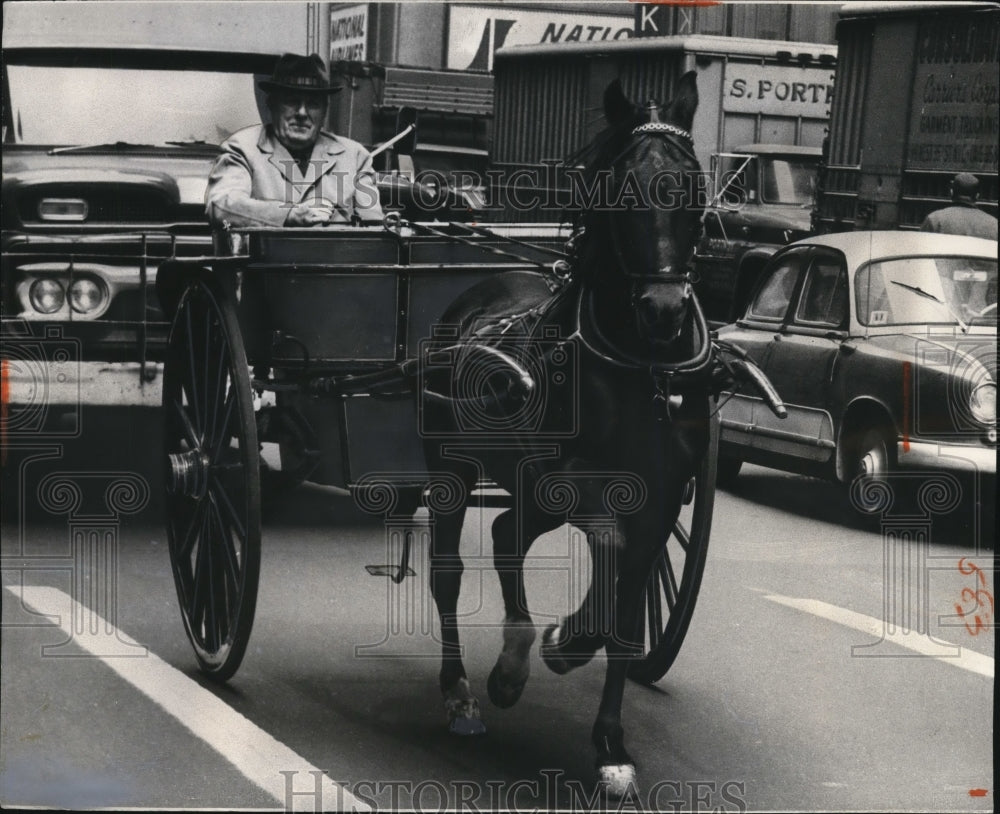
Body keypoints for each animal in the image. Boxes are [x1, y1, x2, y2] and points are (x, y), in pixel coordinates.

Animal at [422, 71, 712, 796]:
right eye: (622, 188)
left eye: (693, 185)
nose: (665, 310)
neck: (638, 367)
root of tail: (485, 286)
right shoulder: (562, 485)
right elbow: (572, 559)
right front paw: (542, 652)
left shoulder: (659, 499)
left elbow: (627, 618)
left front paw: (610, 742)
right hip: (454, 463)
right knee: (456, 564)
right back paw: (466, 689)